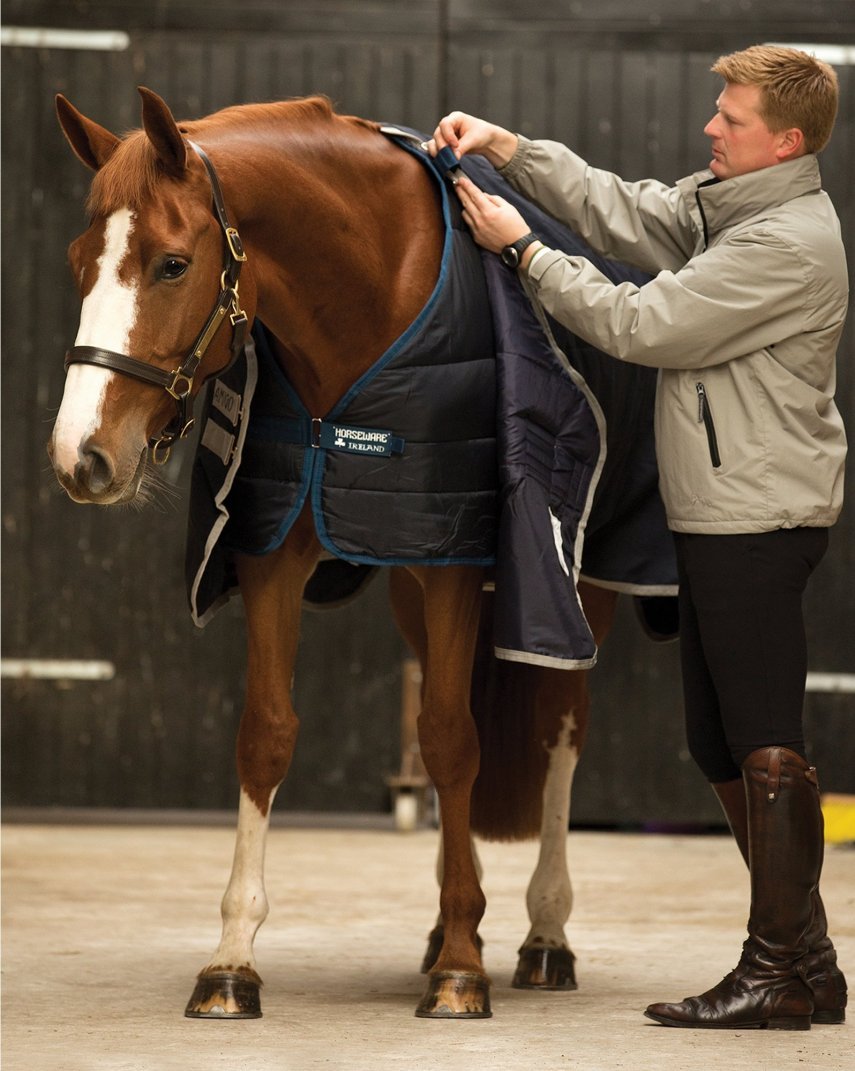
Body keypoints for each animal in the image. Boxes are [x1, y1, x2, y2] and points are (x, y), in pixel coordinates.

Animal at [46, 87, 621, 1015]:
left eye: (172, 264)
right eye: (77, 264)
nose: (80, 457)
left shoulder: (455, 558)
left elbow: (451, 739)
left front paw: (463, 967)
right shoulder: (275, 553)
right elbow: (267, 733)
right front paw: (233, 958)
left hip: (574, 593)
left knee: (558, 732)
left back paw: (542, 933)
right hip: (410, 592)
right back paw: (446, 927)